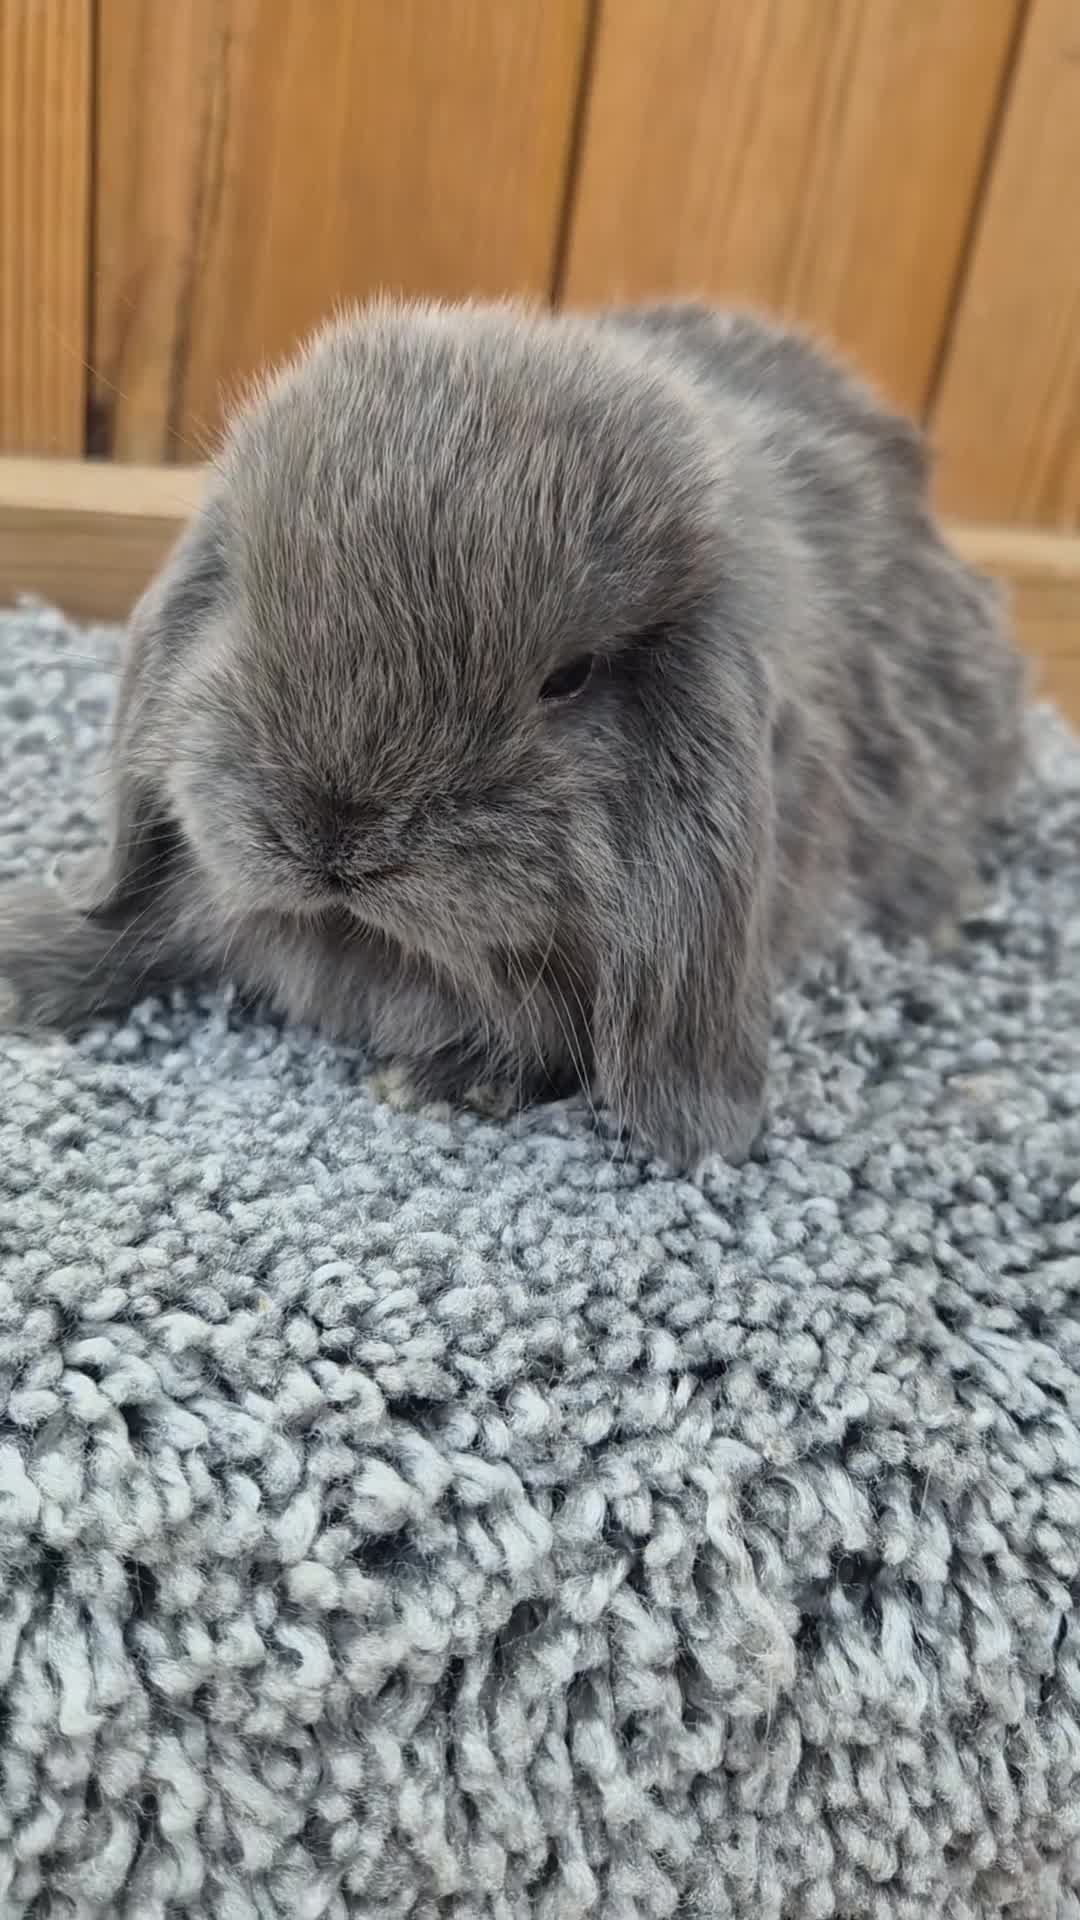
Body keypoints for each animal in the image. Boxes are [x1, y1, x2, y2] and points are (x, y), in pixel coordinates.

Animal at [0, 298, 1025, 1169]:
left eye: (568, 679)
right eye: (246, 598)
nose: (331, 836)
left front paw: (441, 1080)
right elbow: (132, 929)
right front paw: (23, 957)